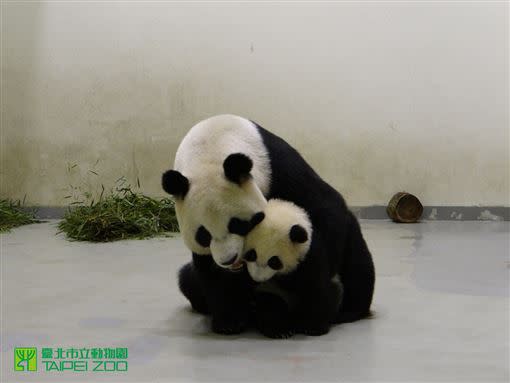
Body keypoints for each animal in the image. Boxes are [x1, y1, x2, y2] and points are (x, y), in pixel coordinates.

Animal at [162, 115, 374, 336]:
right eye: (203, 235)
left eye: (237, 224)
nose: (229, 260)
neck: (212, 144)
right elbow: (209, 271)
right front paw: (230, 321)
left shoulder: (277, 166)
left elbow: (325, 207)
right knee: (187, 279)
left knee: (357, 265)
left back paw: (348, 311)